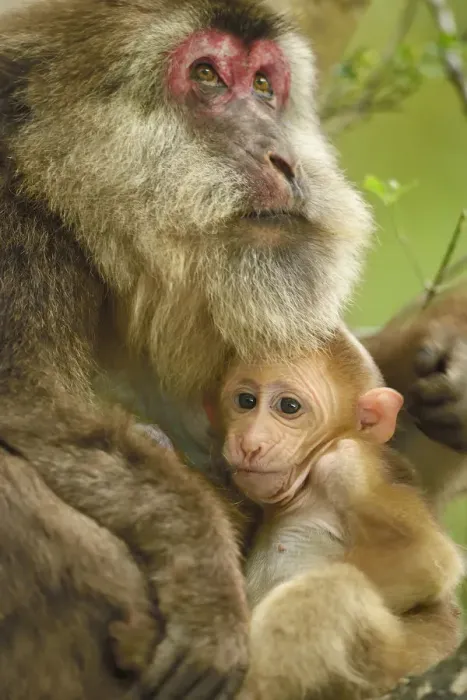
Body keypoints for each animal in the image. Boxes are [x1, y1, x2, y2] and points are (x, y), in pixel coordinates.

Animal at [213, 327, 464, 699]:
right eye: (246, 401)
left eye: (289, 407)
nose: (249, 442)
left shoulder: (347, 463)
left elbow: (428, 559)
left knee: (332, 587)